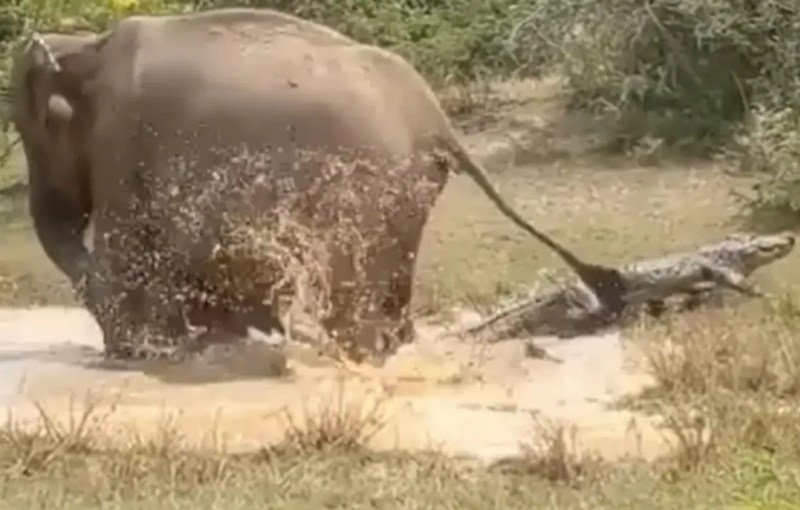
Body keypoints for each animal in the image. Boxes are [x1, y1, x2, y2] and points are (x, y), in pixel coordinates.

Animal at [6, 8, 625, 363]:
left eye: (32, 131)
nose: (116, 350)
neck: (86, 46)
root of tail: (439, 122)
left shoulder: (122, 142)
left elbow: (128, 248)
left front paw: (147, 352)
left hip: (370, 187)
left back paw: (347, 353)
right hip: (406, 194)